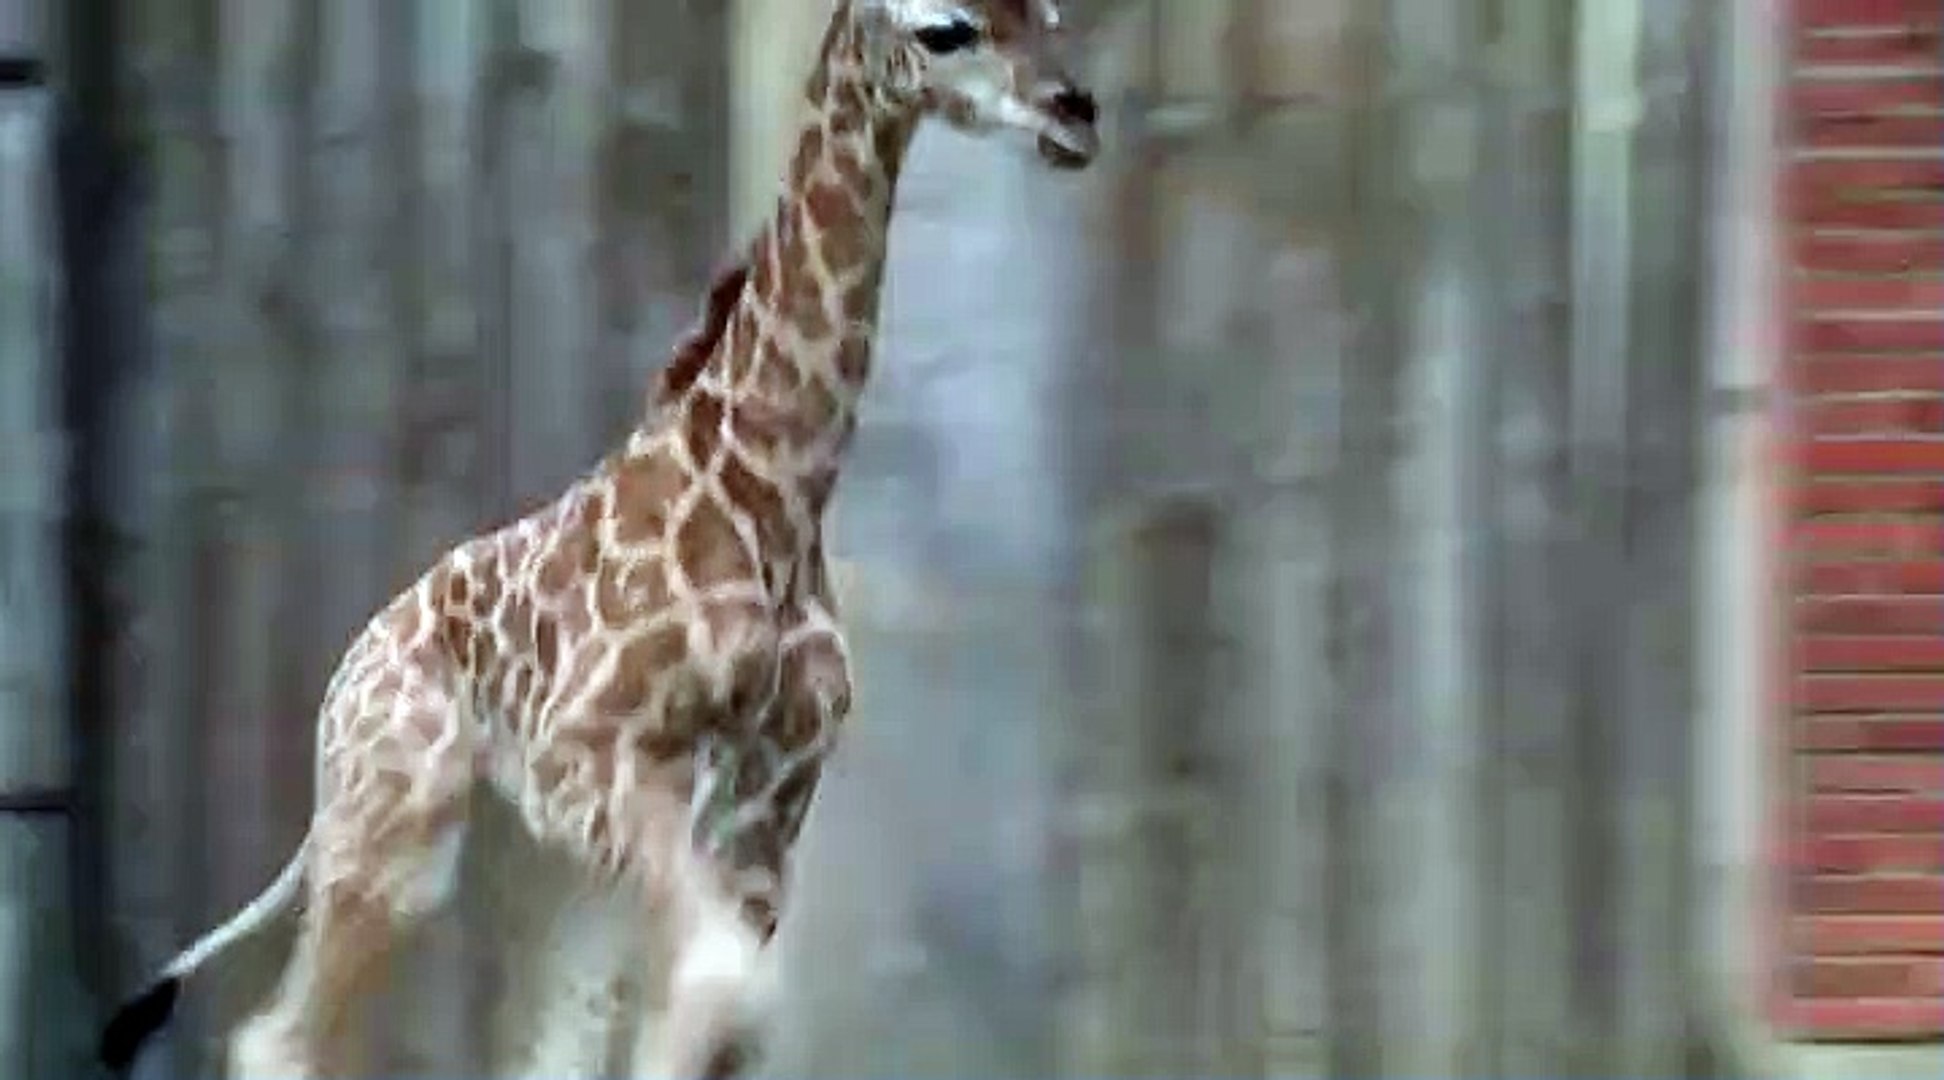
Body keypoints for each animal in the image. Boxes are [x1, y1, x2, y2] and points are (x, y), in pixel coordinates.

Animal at [96, 1, 1099, 1077]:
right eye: (945, 30)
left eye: (1052, 13)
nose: (1075, 114)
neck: (774, 498)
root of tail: (346, 676)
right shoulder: (595, 750)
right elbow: (716, 995)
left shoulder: (768, 803)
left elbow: (707, 1018)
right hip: (397, 827)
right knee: (276, 1041)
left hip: (538, 869)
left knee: (526, 1043)